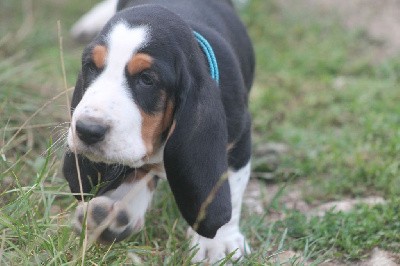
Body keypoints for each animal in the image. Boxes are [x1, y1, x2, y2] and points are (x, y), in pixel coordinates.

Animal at [64, 0, 255, 262]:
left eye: (147, 79)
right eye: (91, 67)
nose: (87, 130)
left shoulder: (239, 139)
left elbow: (228, 186)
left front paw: (219, 244)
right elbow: (137, 176)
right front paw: (112, 216)